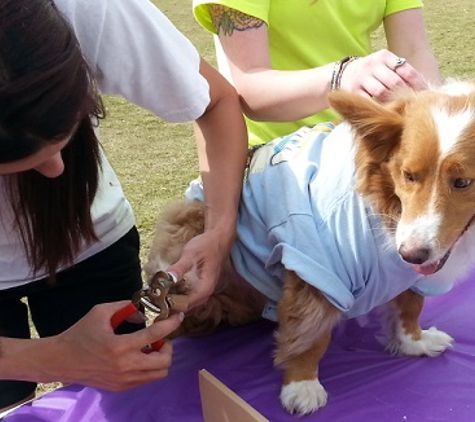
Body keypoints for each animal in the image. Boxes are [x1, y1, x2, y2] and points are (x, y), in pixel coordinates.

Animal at [144, 80, 475, 416]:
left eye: (462, 182)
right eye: (408, 175)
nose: (410, 253)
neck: (385, 207)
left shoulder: (411, 273)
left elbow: (410, 307)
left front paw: (414, 342)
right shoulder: (316, 267)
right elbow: (310, 334)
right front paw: (301, 386)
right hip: (192, 221)